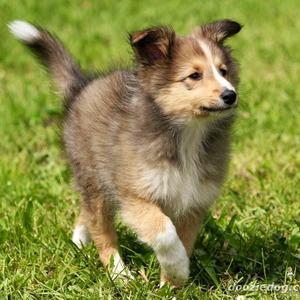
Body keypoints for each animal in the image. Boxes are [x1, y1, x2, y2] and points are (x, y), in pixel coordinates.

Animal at [9, 18, 243, 286]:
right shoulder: (135, 195)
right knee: (101, 230)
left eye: (223, 71)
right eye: (194, 75)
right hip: (94, 179)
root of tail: (81, 87)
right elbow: (164, 232)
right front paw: (177, 269)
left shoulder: (193, 202)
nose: (230, 95)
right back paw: (118, 273)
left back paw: (81, 244)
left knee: (87, 215)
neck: (188, 135)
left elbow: (183, 241)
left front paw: (171, 285)